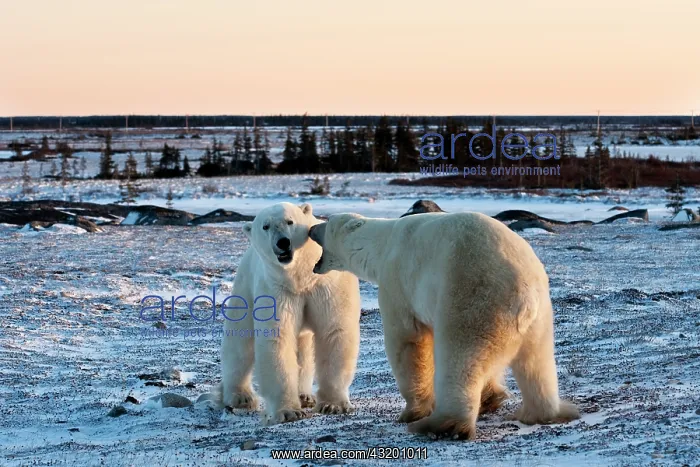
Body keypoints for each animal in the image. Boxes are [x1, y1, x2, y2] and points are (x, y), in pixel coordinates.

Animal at [215, 202, 361, 426]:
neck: (301, 277)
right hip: (245, 287)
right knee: (240, 342)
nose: (283, 242)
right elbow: (278, 338)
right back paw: (240, 396)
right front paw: (289, 411)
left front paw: (333, 405)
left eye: (290, 221)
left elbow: (334, 331)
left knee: (303, 349)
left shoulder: (327, 286)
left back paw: (305, 395)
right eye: (265, 226)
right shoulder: (277, 290)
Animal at [309, 211, 579, 440]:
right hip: (541, 317)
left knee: (461, 357)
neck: (382, 244)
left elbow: (408, 341)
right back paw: (540, 413)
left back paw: (441, 425)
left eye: (326, 224)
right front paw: (491, 397)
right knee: (536, 362)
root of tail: (525, 294)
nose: (311, 228)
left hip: (473, 297)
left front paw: (412, 411)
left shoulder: (397, 283)